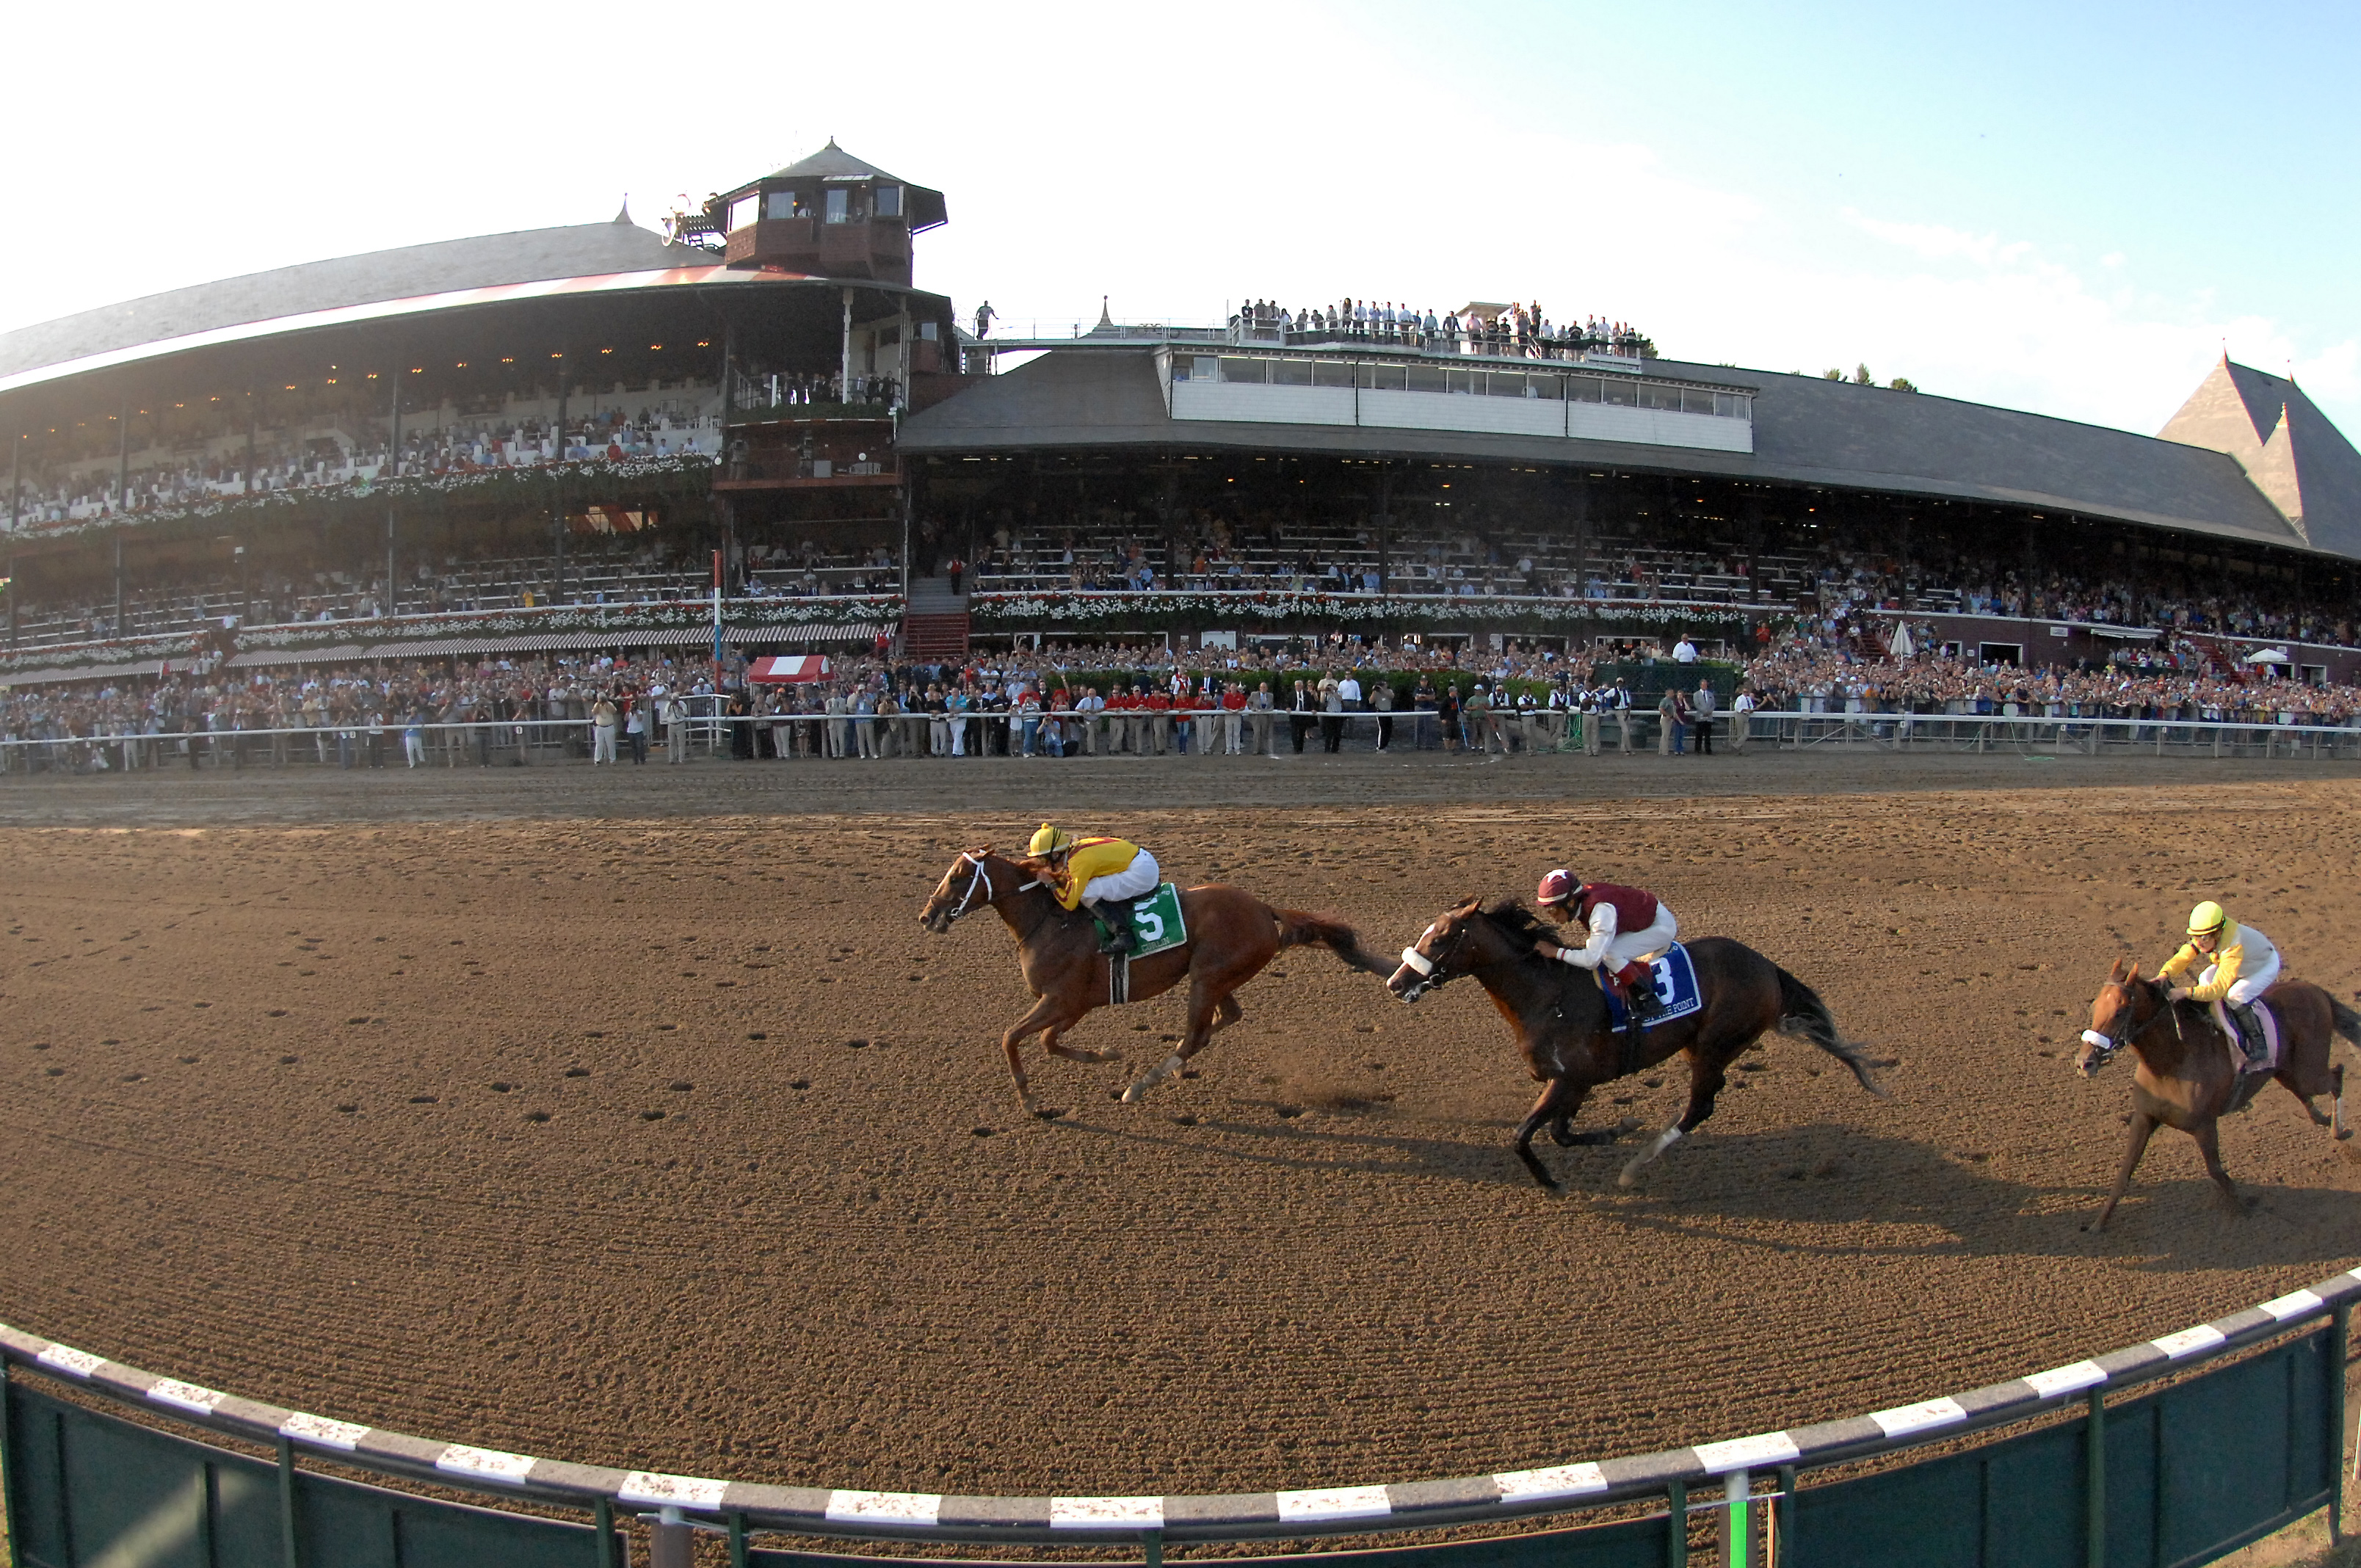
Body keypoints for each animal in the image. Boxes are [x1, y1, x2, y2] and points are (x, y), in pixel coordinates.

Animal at [906, 845, 1379, 1114]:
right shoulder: (1075, 1004)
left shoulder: (1061, 999)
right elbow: (1048, 1041)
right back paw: (1172, 1069)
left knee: (1196, 1034)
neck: (1049, 920)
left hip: (1206, 977)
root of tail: (1265, 909)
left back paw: (1140, 1086)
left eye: (957, 877)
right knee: (1223, 1020)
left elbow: (1011, 1037)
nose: (927, 916)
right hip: (1217, 978)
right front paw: (1105, 1054)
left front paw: (1027, 1098)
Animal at [1379, 892, 1879, 1190]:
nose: (1396, 983)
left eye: (1440, 938)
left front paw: (1551, 1182)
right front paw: (1618, 1128)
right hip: (1704, 1045)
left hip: (1715, 1044)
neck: (1547, 995)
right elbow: (1562, 1134)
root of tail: (1766, 966)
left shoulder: (1566, 1080)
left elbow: (1523, 1136)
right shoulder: (1576, 1082)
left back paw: (1636, 1166)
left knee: (1701, 1106)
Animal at [2078, 963, 2351, 1227]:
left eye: (2120, 1011)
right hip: (2286, 1070)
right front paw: (2098, 1225)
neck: (2172, 1062)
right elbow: (2124, 1174)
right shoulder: (2144, 1118)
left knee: (2337, 1076)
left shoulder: (2204, 1126)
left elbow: (2216, 1172)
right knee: (2306, 1091)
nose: (2084, 1063)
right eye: (2095, 1006)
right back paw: (2324, 1120)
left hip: (2309, 1071)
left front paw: (2245, 1209)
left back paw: (2339, 1129)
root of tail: (2314, 989)